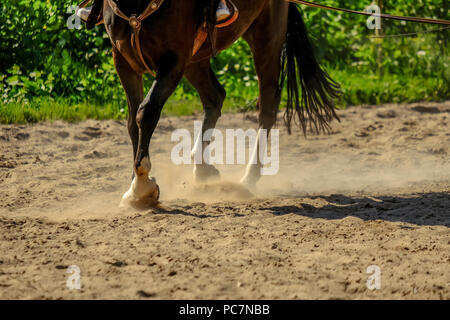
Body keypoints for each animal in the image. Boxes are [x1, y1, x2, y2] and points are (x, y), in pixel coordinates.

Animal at [82, 0, 340, 209]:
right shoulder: (123, 60)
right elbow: (132, 123)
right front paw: (135, 188)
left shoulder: (174, 60)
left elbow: (146, 112)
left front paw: (142, 186)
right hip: (197, 58)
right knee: (215, 96)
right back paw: (203, 167)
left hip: (266, 38)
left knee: (267, 105)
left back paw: (249, 177)